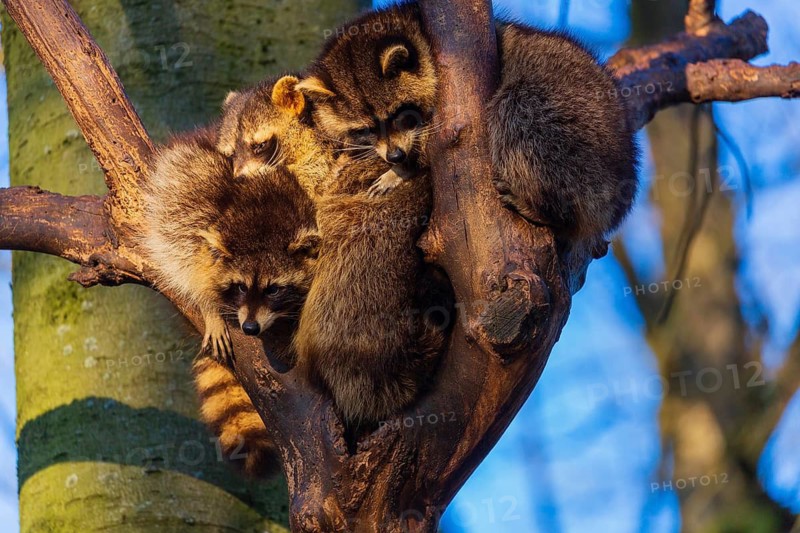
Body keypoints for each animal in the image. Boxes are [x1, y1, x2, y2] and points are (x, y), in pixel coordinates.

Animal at [141, 126, 320, 363]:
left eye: (273, 289)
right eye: (241, 287)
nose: (250, 327)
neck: (263, 232)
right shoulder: (199, 220)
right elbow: (187, 262)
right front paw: (209, 305)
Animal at [296, 2, 638, 243]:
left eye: (400, 116)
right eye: (366, 129)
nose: (394, 156)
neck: (419, 33)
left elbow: (431, 145)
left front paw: (402, 170)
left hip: (578, 134)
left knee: (520, 110)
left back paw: (548, 210)